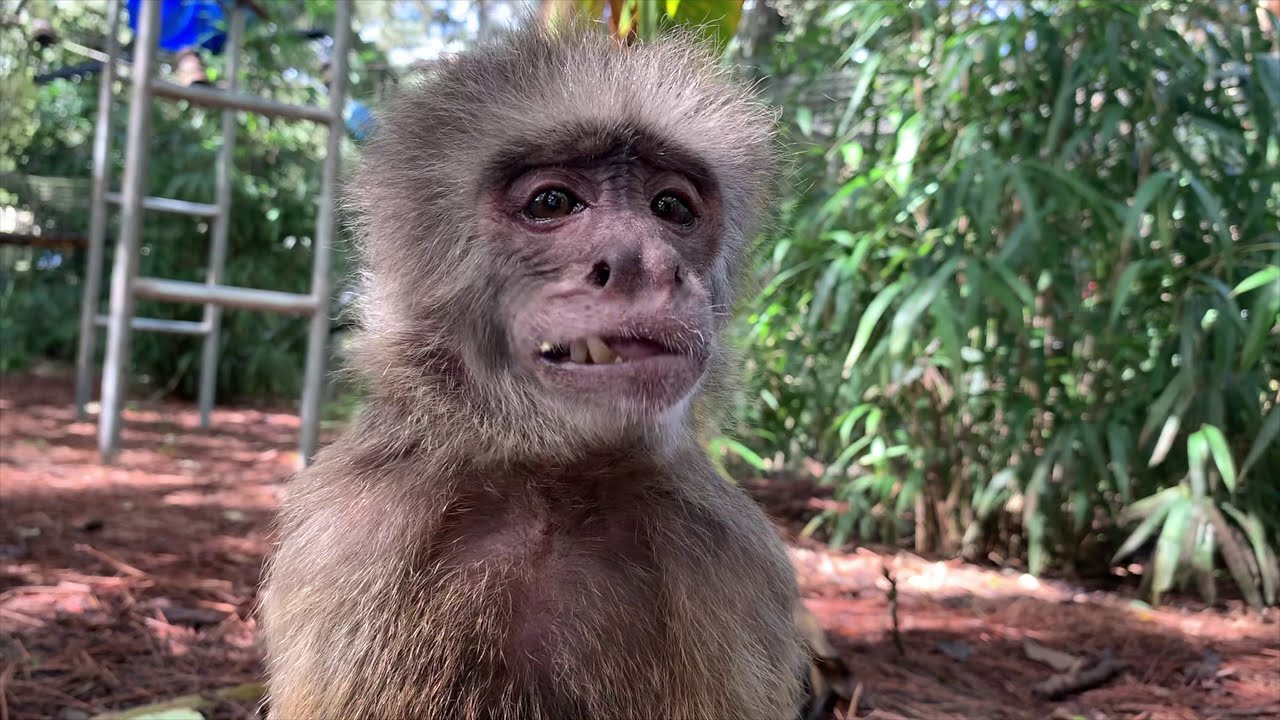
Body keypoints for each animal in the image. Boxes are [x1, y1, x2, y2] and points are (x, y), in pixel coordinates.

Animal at [258, 17, 806, 720]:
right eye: (552, 203)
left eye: (671, 210)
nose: (646, 263)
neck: (553, 480)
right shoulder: (355, 531)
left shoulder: (730, 557)